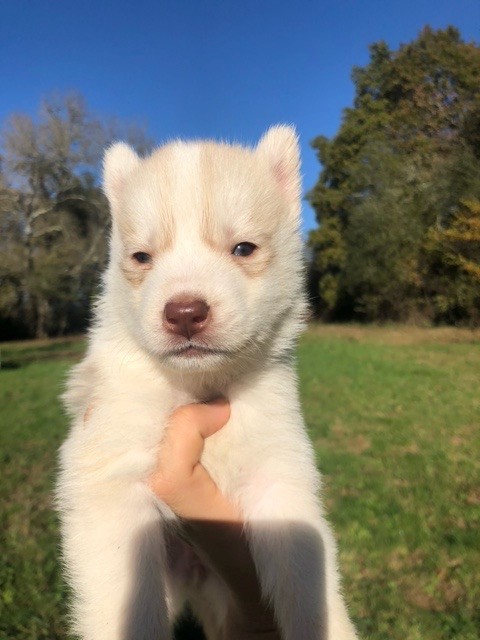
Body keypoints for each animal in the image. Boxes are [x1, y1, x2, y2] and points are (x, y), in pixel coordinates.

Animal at [56, 126, 358, 640]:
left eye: (243, 248)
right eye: (141, 257)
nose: (184, 313)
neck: (198, 386)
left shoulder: (278, 472)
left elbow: (306, 576)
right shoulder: (112, 480)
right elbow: (127, 604)